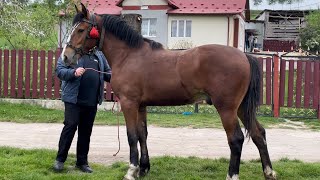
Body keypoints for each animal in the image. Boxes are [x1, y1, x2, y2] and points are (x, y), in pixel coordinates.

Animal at [61, 3, 276, 179]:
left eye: (81, 29)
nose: (66, 57)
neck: (129, 55)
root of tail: (244, 56)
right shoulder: (141, 106)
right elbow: (142, 134)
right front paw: (144, 168)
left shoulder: (129, 103)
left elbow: (132, 136)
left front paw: (131, 171)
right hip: (241, 108)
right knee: (259, 133)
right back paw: (269, 172)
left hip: (227, 109)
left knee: (236, 139)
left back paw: (232, 175)